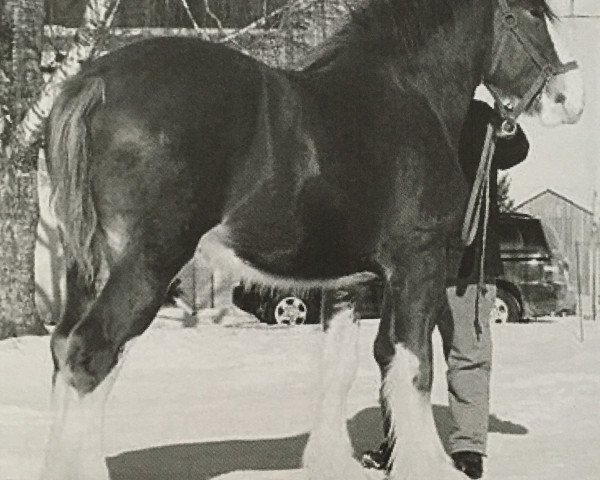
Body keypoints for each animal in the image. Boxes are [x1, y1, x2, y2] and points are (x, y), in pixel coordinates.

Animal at [41, 0, 580, 480]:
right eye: (534, 13)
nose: (570, 99)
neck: (408, 95)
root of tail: (95, 82)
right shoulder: (417, 263)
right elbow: (415, 366)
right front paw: (428, 467)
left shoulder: (348, 280)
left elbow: (346, 366)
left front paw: (334, 463)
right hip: (146, 264)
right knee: (91, 354)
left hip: (86, 267)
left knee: (64, 347)